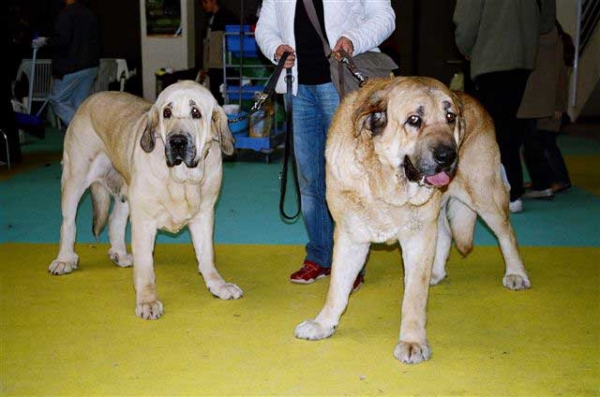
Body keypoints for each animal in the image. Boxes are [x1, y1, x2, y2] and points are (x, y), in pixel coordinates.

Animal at [48, 80, 241, 318]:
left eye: (196, 112)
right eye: (166, 112)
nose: (177, 142)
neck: (181, 179)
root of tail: (91, 99)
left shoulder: (204, 216)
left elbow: (207, 256)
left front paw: (218, 285)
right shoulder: (144, 221)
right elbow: (146, 268)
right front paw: (147, 301)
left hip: (125, 190)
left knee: (115, 220)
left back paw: (120, 254)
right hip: (75, 178)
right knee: (68, 224)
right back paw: (64, 259)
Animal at [296, 76, 528, 364]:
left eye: (450, 117)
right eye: (414, 120)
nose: (448, 156)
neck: (385, 184)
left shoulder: (418, 238)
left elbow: (414, 297)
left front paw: (412, 341)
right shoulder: (351, 237)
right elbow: (337, 288)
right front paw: (323, 324)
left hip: (484, 194)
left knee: (507, 234)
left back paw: (516, 273)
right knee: (446, 234)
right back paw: (436, 273)